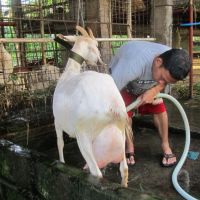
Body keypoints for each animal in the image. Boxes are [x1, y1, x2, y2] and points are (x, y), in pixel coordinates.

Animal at [52, 25, 128, 187]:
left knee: (96, 173)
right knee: (124, 168)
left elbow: (60, 143)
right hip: (121, 133)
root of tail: (112, 103)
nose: (100, 62)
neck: (69, 74)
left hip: (84, 135)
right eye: (96, 46)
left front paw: (61, 162)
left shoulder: (57, 121)